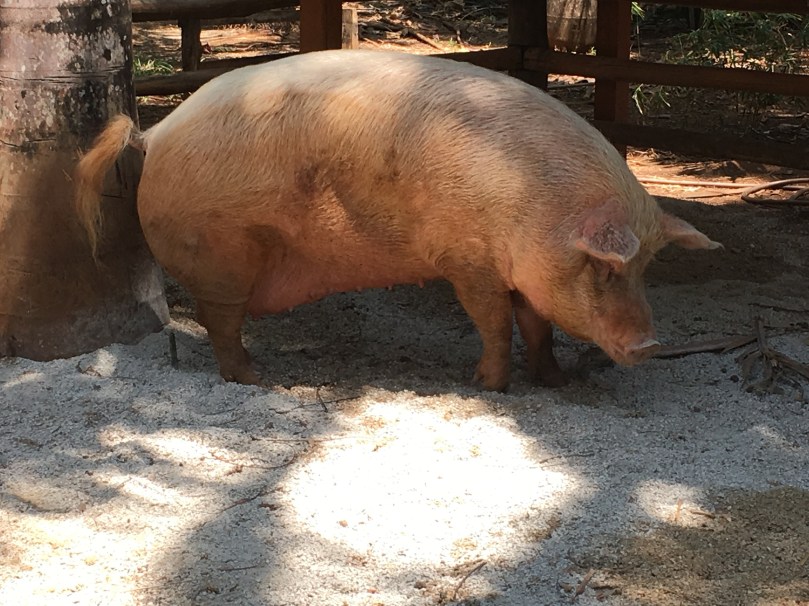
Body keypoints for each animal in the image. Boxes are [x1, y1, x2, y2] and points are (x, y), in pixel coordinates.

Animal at [75, 49, 719, 390]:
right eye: (606, 268)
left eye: (646, 267)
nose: (651, 344)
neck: (535, 206)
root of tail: (156, 133)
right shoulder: (468, 260)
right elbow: (494, 322)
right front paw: (484, 386)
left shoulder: (526, 271)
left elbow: (537, 323)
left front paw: (554, 381)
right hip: (221, 254)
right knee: (221, 324)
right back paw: (256, 379)